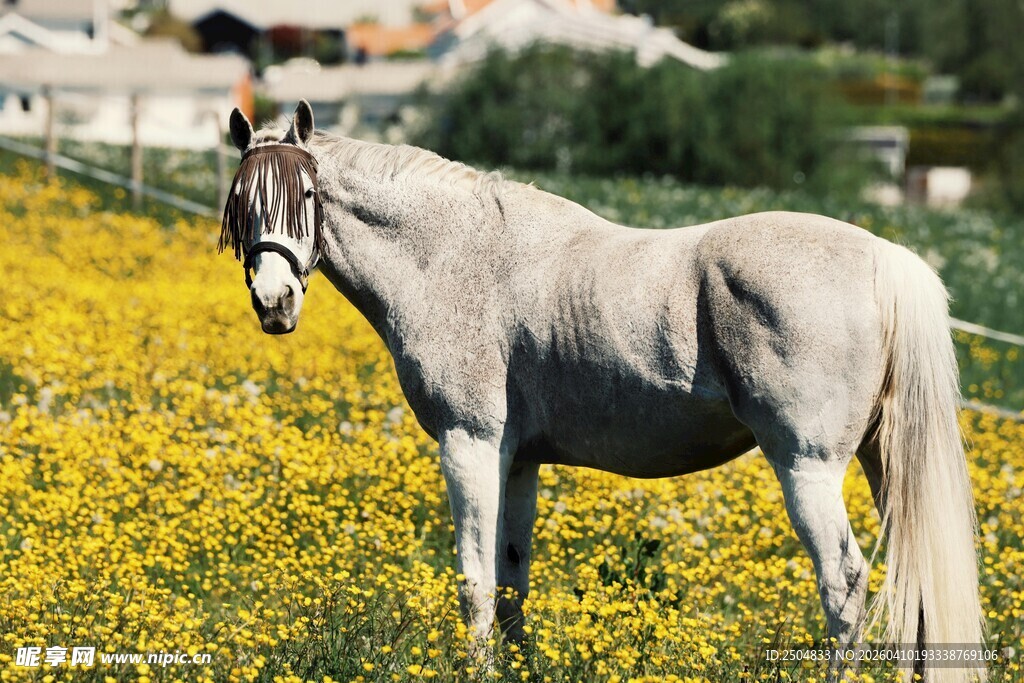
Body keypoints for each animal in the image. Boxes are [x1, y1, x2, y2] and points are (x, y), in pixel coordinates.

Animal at [218, 101, 984, 682]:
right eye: (242, 203)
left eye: (306, 196)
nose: (274, 303)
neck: (454, 256)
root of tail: (886, 258)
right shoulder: (518, 459)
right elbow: (511, 580)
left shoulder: (470, 445)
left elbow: (473, 580)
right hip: (885, 461)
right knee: (914, 581)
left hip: (808, 466)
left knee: (845, 583)